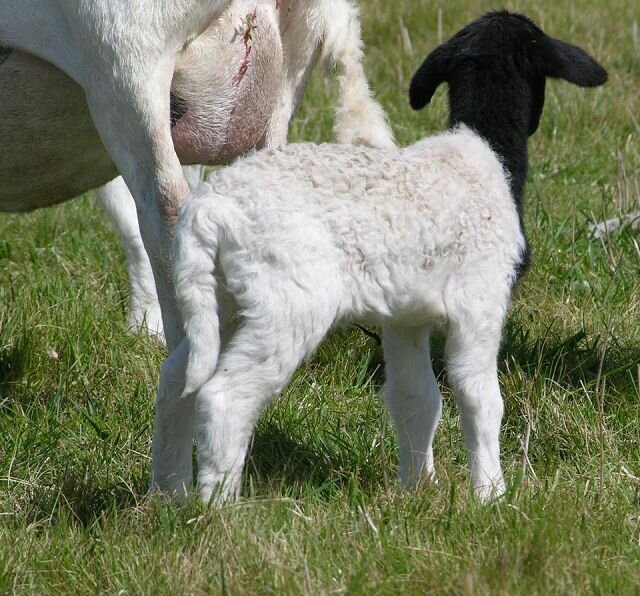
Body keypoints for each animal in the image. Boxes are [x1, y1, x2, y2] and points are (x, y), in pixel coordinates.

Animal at [158, 10, 608, 502]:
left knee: (177, 381)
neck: (485, 150)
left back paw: (167, 494)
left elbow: (416, 398)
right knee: (224, 397)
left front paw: (418, 489)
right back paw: (219, 508)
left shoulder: (405, 317)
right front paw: (491, 495)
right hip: (288, 301)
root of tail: (209, 210)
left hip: (217, 297)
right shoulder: (480, 301)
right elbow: (479, 397)